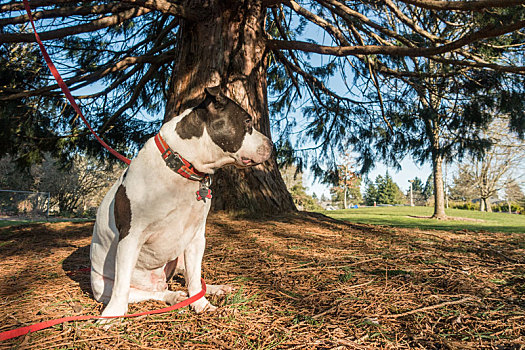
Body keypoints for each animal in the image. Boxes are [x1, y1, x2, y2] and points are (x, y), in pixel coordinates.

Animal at [90, 87, 272, 318]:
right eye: (247, 121)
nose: (272, 144)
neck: (182, 167)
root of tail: (157, 281)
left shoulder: (195, 237)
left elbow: (194, 278)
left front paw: (201, 304)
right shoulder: (131, 237)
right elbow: (121, 285)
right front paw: (112, 314)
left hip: (179, 258)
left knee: (191, 279)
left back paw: (213, 289)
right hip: (103, 286)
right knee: (148, 293)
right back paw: (174, 297)